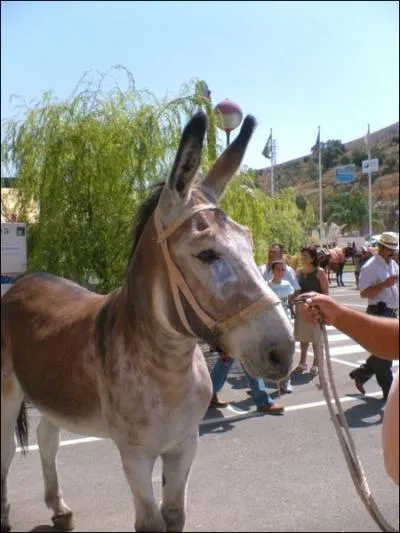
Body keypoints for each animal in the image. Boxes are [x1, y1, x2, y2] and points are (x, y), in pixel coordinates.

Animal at [0, 113, 294, 532]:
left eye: (249, 241)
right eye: (206, 254)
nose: (283, 350)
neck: (166, 367)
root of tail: (26, 280)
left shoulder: (185, 446)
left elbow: (175, 515)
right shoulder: (135, 456)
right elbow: (151, 522)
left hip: (50, 390)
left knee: (46, 437)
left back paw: (58, 507)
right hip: (7, 392)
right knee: (6, 449)